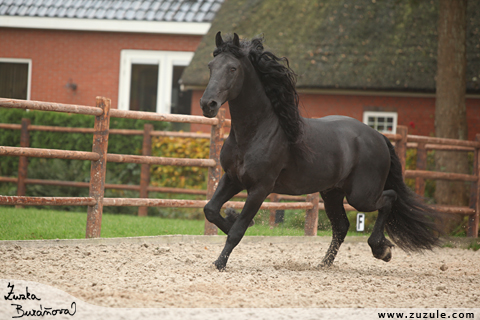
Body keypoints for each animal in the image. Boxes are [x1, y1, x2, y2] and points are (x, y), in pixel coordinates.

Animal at [199, 32, 438, 272]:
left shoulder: (260, 188)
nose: (207, 104)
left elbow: (237, 231)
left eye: (232, 68)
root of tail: (378, 136)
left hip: (361, 196)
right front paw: (232, 219)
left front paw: (220, 262)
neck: (255, 132)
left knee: (389, 198)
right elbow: (211, 210)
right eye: (210, 66)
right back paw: (325, 264)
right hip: (332, 192)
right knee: (342, 226)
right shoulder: (232, 178)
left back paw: (381, 249)